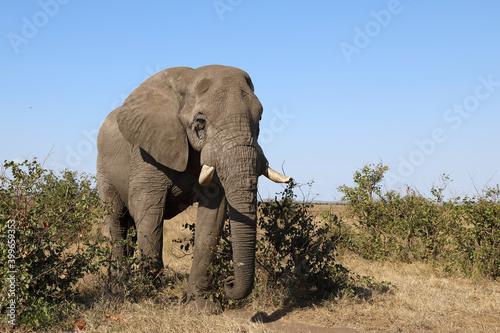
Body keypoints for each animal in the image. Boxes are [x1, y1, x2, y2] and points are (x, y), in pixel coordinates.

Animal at [96, 65, 292, 312]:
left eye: (260, 118)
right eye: (201, 122)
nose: (229, 282)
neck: (187, 80)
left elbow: (213, 216)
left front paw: (202, 306)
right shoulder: (146, 152)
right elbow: (148, 211)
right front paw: (150, 298)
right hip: (104, 170)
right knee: (117, 221)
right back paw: (122, 288)